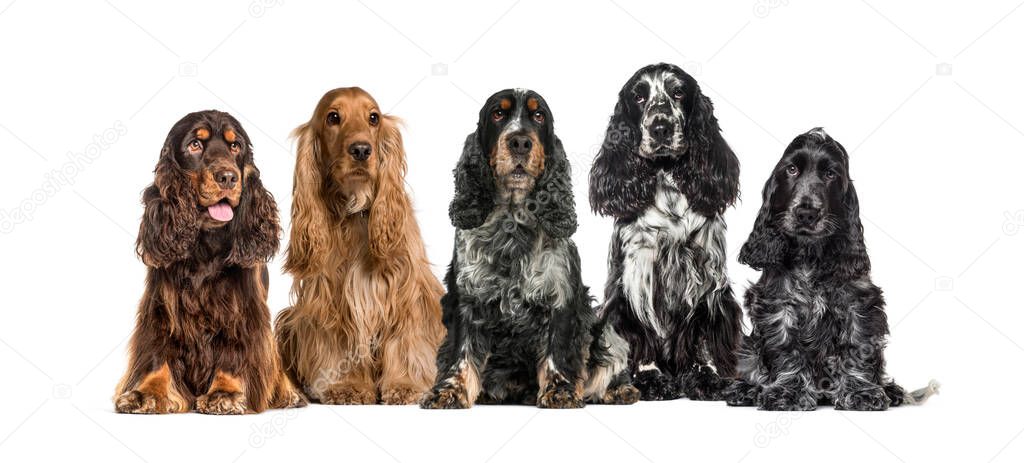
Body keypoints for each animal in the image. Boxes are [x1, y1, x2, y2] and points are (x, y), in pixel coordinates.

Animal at [115, 110, 303, 413]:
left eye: (235, 146)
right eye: (195, 144)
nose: (228, 177)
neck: (206, 242)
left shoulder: (243, 310)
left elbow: (235, 352)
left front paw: (225, 393)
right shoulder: (161, 307)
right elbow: (157, 354)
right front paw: (146, 393)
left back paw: (289, 394)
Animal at [274, 87, 446, 405]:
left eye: (373, 118)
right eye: (333, 117)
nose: (362, 150)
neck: (356, 212)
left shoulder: (407, 291)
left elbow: (406, 340)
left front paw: (405, 385)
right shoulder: (329, 297)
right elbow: (339, 345)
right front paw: (346, 386)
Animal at [419, 88, 634, 407]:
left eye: (538, 115)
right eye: (498, 113)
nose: (520, 141)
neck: (512, 223)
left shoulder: (560, 298)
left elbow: (558, 350)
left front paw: (560, 391)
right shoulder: (465, 299)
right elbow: (461, 351)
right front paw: (449, 391)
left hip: (604, 328)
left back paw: (619, 390)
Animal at [589, 63, 741, 399]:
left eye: (679, 92)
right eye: (639, 96)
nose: (660, 128)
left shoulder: (706, 273)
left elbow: (702, 334)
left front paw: (705, 375)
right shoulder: (638, 272)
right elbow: (644, 328)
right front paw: (650, 376)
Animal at [729, 128, 937, 409]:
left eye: (830, 174)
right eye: (792, 169)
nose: (807, 213)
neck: (810, 255)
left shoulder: (858, 303)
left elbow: (857, 346)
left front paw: (862, 392)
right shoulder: (777, 304)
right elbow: (786, 348)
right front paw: (788, 392)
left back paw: (891, 391)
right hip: (748, 347)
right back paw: (746, 390)